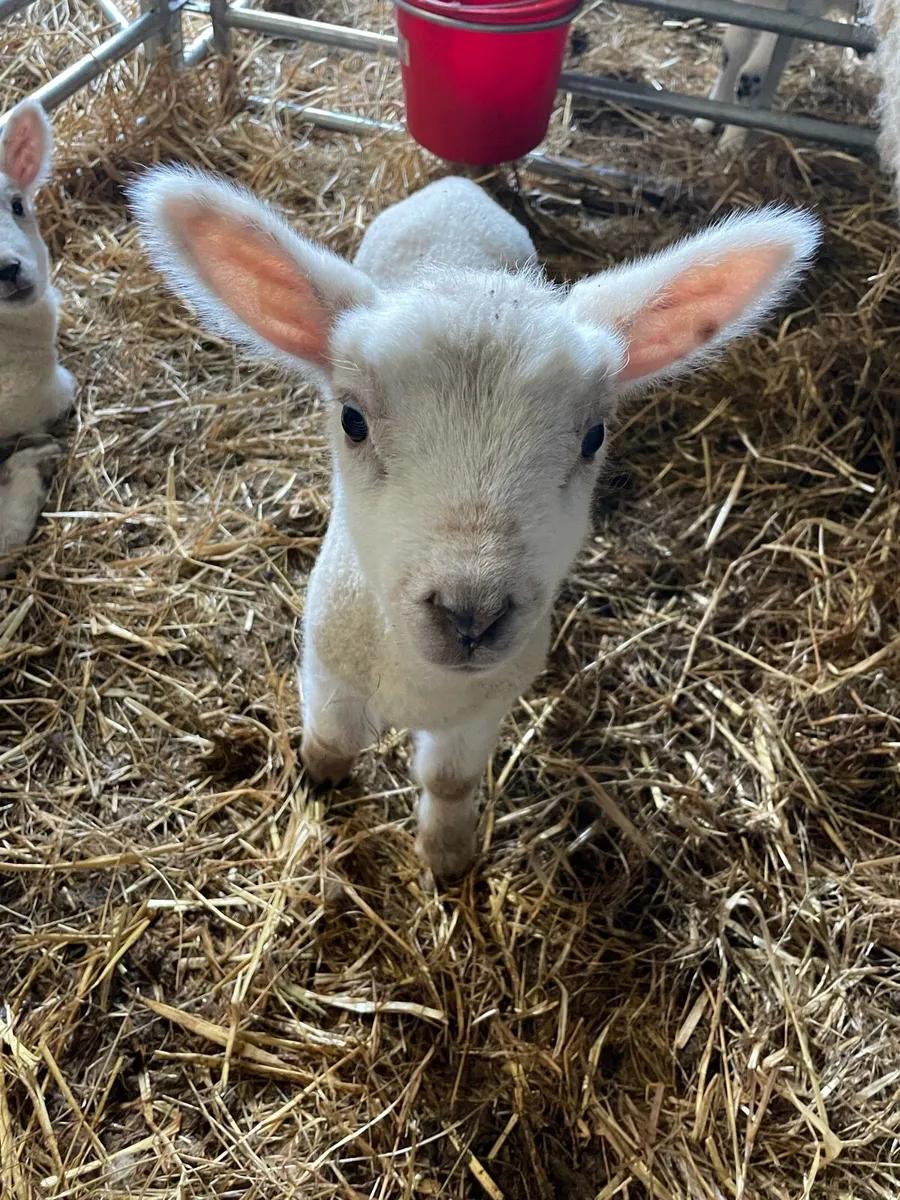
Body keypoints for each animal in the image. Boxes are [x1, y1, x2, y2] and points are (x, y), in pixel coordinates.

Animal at [130, 166, 821, 880]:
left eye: (594, 436)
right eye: (352, 420)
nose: (472, 613)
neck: (421, 684)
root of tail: (456, 184)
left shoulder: (485, 708)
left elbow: (450, 781)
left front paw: (447, 856)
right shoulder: (327, 660)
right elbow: (333, 736)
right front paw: (319, 777)